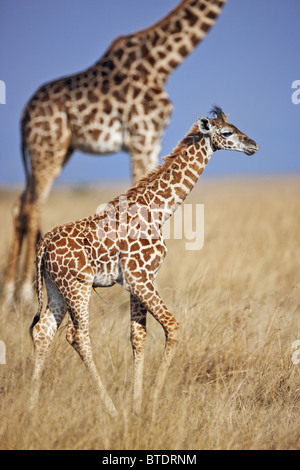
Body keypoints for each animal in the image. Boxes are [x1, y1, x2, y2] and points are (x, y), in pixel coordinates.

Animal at [4, 0, 226, 304]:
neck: (162, 62)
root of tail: (24, 114)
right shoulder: (142, 135)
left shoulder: (154, 139)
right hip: (47, 148)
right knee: (32, 206)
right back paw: (24, 293)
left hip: (55, 151)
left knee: (20, 205)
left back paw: (8, 291)